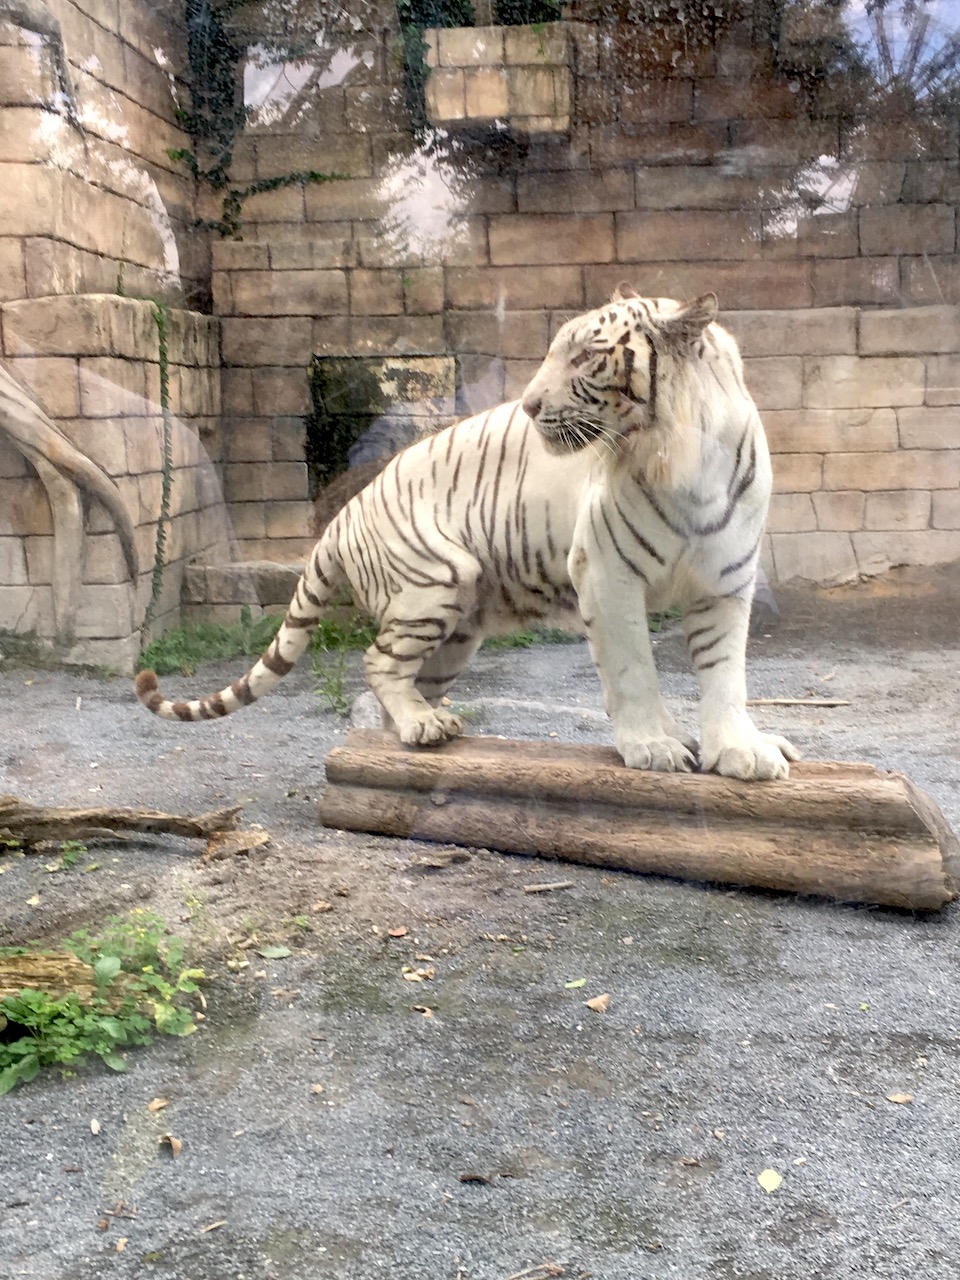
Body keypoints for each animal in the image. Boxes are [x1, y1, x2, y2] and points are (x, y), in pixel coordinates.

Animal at [135, 291, 798, 783]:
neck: (686, 458)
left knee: (401, 684)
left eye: (586, 357)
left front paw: (740, 750)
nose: (528, 406)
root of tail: (345, 513)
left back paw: (413, 731)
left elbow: (725, 675)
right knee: (378, 661)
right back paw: (422, 727)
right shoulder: (608, 576)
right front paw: (653, 747)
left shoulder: (724, 581)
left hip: (457, 630)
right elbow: (635, 670)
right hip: (437, 582)